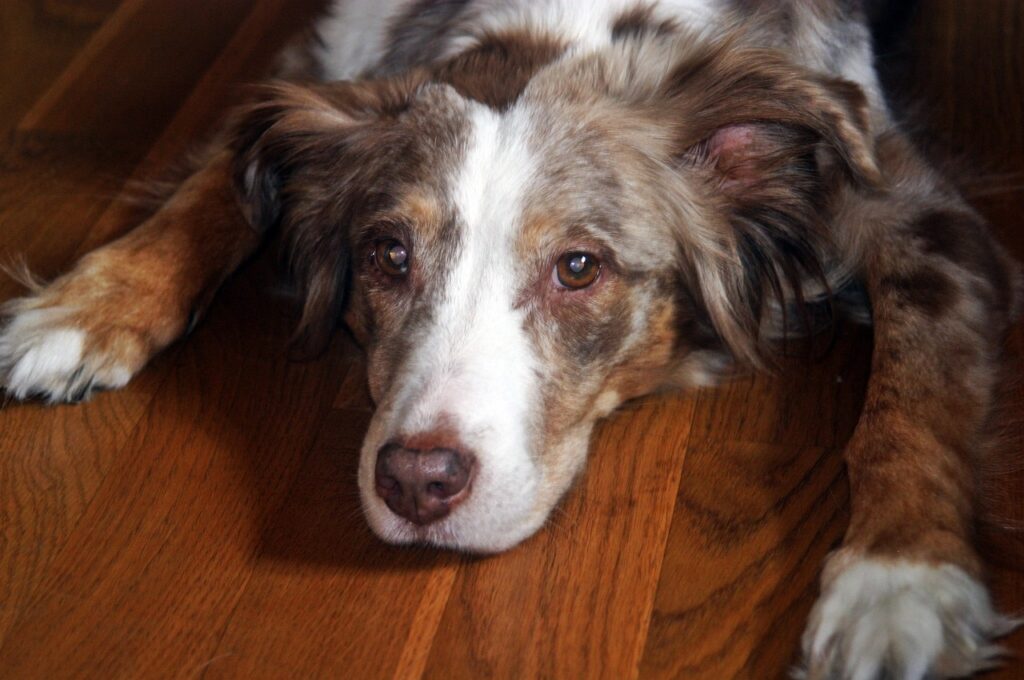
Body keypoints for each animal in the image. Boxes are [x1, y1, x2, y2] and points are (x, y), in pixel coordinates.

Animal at [2, 0, 1024, 675]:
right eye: (386, 253)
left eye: (578, 267)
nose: (417, 483)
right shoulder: (328, 60)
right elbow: (221, 172)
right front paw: (86, 307)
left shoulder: (914, 206)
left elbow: (911, 393)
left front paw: (899, 583)